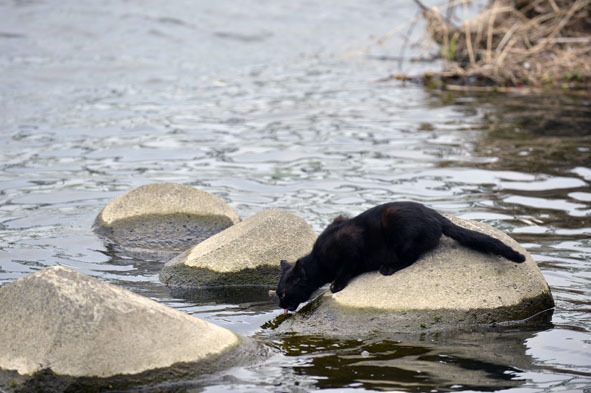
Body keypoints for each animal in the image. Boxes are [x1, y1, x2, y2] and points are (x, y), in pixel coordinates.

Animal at [278, 201, 528, 310]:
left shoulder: (349, 243)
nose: (280, 305)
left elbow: (347, 266)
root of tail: (435, 214)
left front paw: (336, 285)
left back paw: (388, 268)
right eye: (277, 294)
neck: (318, 259)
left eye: (283, 293)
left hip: (396, 220)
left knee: (412, 256)